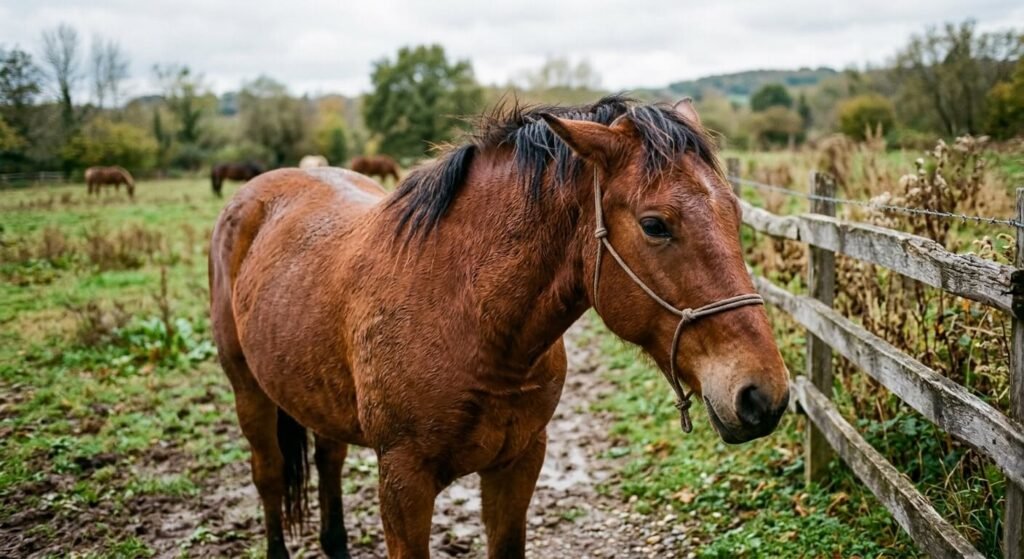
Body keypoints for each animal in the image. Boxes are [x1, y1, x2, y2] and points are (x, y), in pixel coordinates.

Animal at [208, 95, 790, 559]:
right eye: (655, 225)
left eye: (734, 213)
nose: (764, 395)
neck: (468, 317)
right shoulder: (403, 481)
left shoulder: (519, 463)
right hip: (248, 392)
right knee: (268, 476)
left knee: (327, 463)